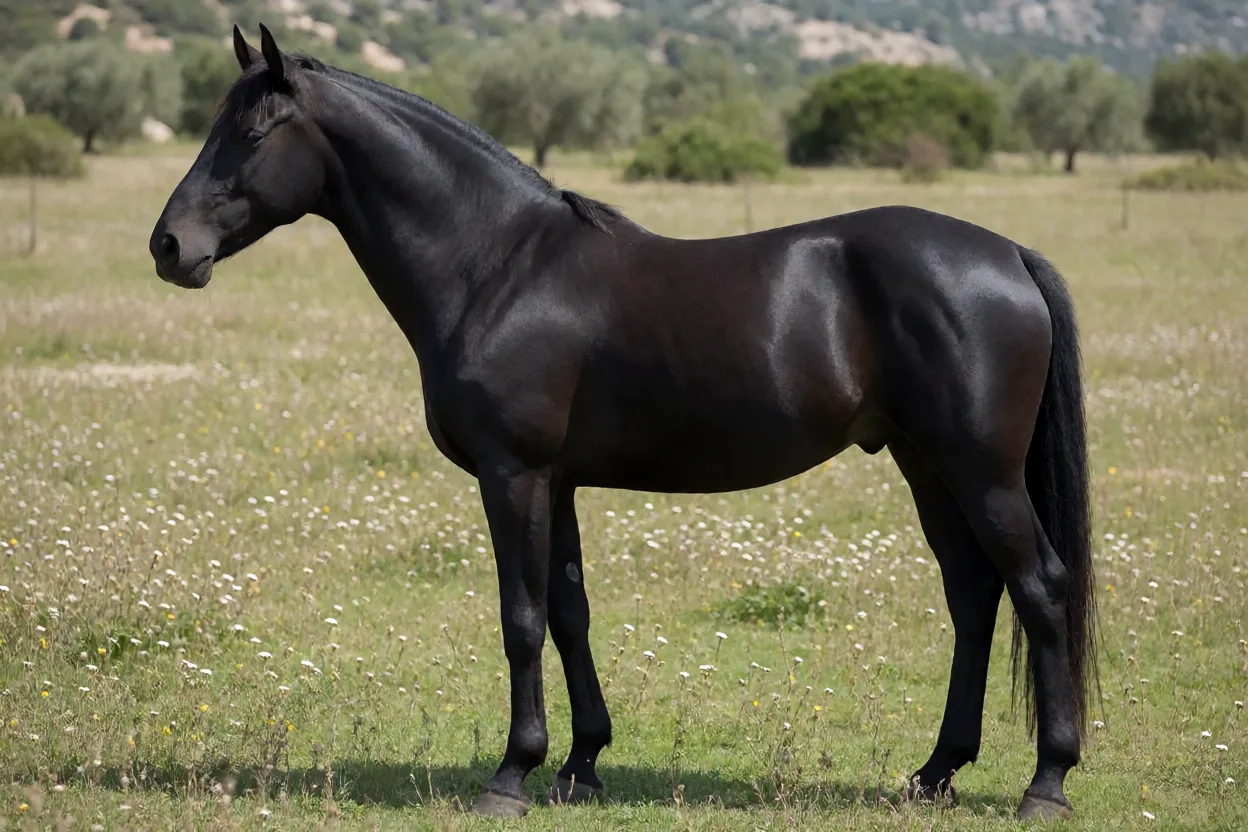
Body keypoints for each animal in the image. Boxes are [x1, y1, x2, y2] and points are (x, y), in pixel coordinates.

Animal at [150, 25, 1099, 821]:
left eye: (252, 134)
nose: (168, 247)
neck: (497, 267)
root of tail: (1008, 254)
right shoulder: (559, 481)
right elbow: (569, 612)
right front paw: (580, 766)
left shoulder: (514, 475)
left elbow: (521, 619)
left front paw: (512, 774)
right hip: (925, 463)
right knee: (973, 594)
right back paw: (934, 772)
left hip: (981, 472)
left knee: (1040, 588)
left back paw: (1046, 783)